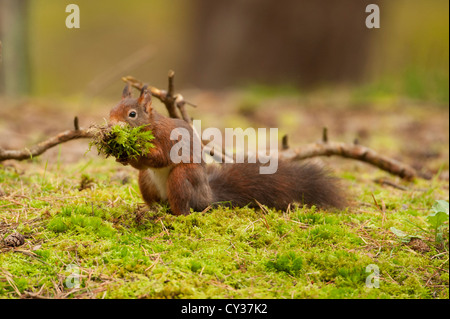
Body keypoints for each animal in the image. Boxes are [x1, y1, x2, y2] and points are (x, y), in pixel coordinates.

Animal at [108, 85, 344, 216]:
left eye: (131, 114)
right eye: (111, 110)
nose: (110, 127)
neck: (151, 126)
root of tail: (207, 197)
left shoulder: (169, 140)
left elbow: (161, 157)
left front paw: (138, 149)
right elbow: (140, 164)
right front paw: (122, 155)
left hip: (182, 178)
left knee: (184, 208)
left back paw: (174, 216)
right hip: (146, 180)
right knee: (155, 197)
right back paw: (151, 210)